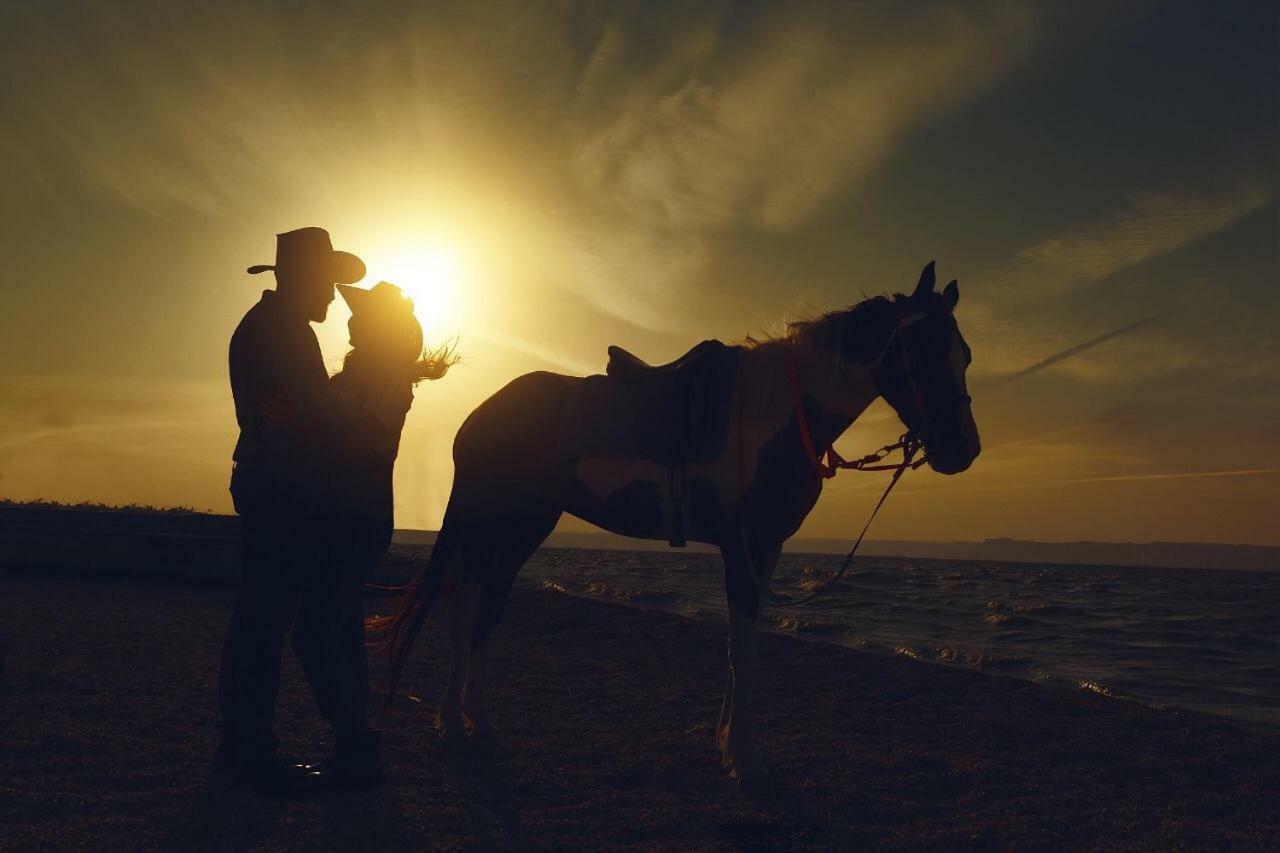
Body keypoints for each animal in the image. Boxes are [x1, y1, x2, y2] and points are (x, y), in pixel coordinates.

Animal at [366, 261, 983, 783]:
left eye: (966, 355)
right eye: (924, 351)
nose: (964, 450)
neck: (777, 413)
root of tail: (482, 412)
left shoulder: (765, 550)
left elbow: (743, 645)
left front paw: (731, 747)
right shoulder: (744, 548)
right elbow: (742, 649)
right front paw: (745, 760)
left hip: (520, 527)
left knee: (480, 608)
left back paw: (475, 728)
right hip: (499, 524)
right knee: (468, 609)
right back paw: (457, 728)